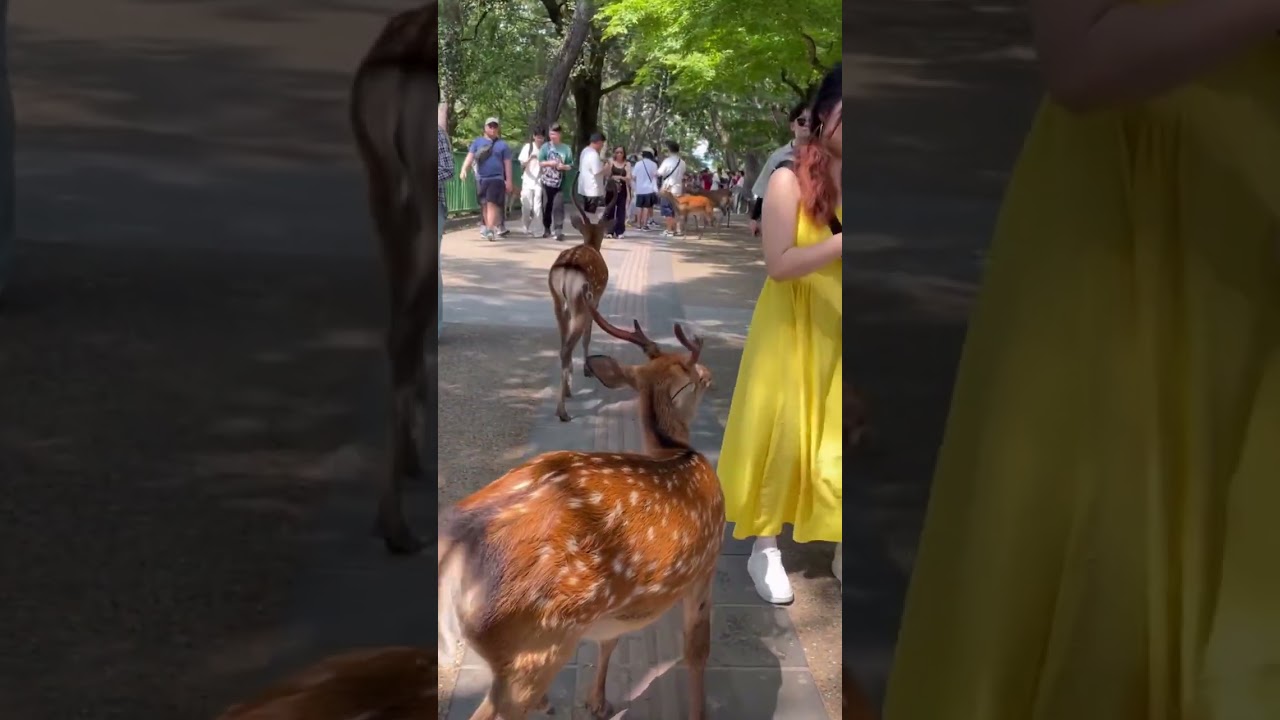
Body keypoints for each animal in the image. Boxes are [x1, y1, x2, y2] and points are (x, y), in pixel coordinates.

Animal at [438, 306, 722, 720]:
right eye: (696, 376)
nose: (712, 375)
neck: (676, 451)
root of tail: (456, 548)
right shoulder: (706, 565)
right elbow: (697, 652)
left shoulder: (618, 608)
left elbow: (611, 641)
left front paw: (597, 701)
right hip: (536, 644)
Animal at [548, 187, 623, 422]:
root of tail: (567, 269)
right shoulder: (595, 301)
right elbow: (589, 335)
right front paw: (588, 370)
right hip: (580, 303)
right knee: (567, 347)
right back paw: (562, 412)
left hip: (558, 301)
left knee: (562, 345)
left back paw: (566, 394)